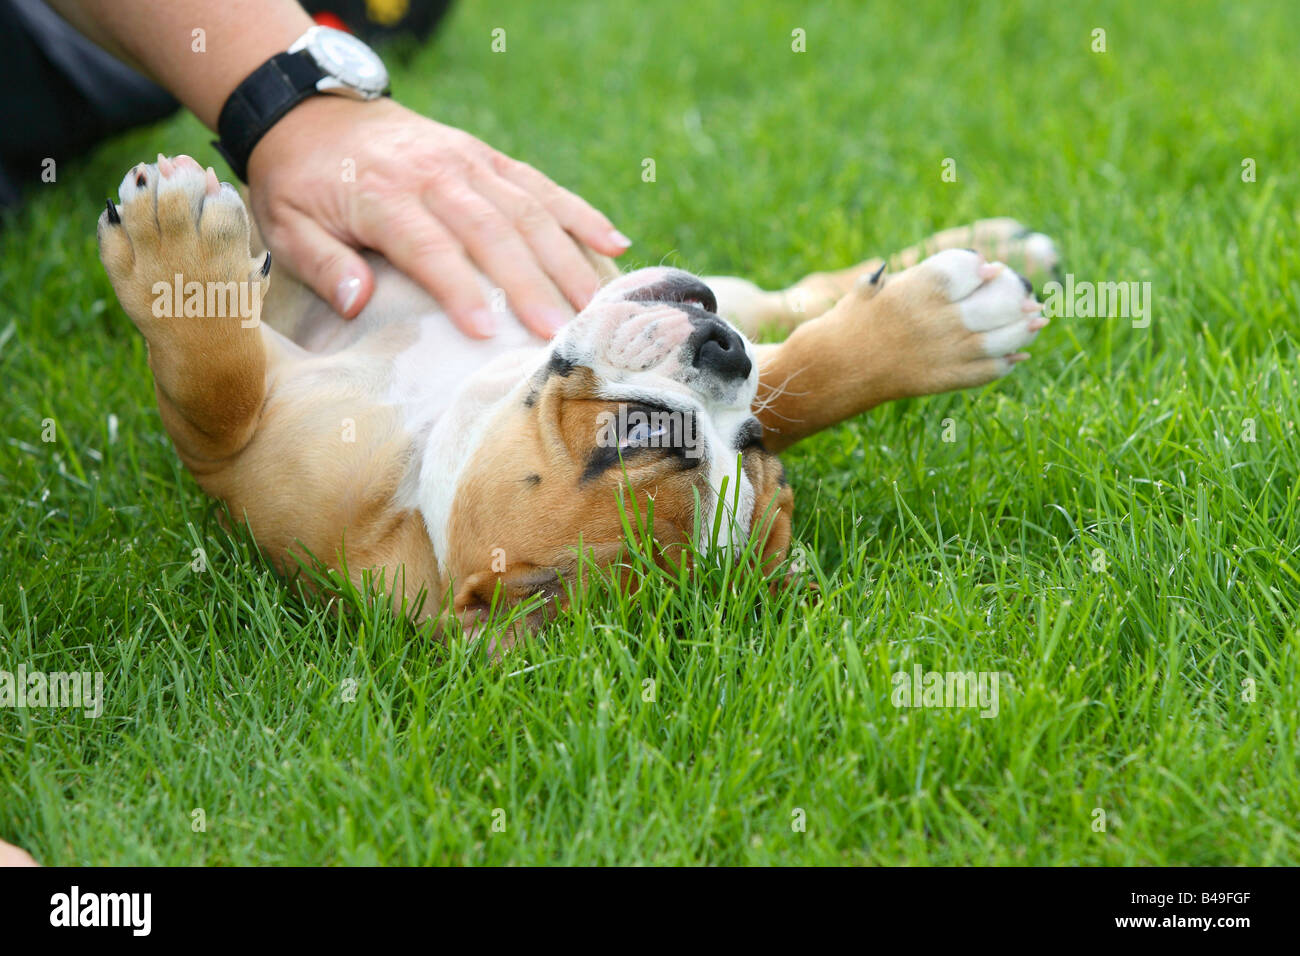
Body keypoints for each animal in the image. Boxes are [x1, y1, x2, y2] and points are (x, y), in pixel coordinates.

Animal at [98, 153, 1055, 639]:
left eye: (744, 446)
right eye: (635, 431)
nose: (721, 352)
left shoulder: (230, 462)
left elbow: (216, 390)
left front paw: (172, 244)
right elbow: (219, 387)